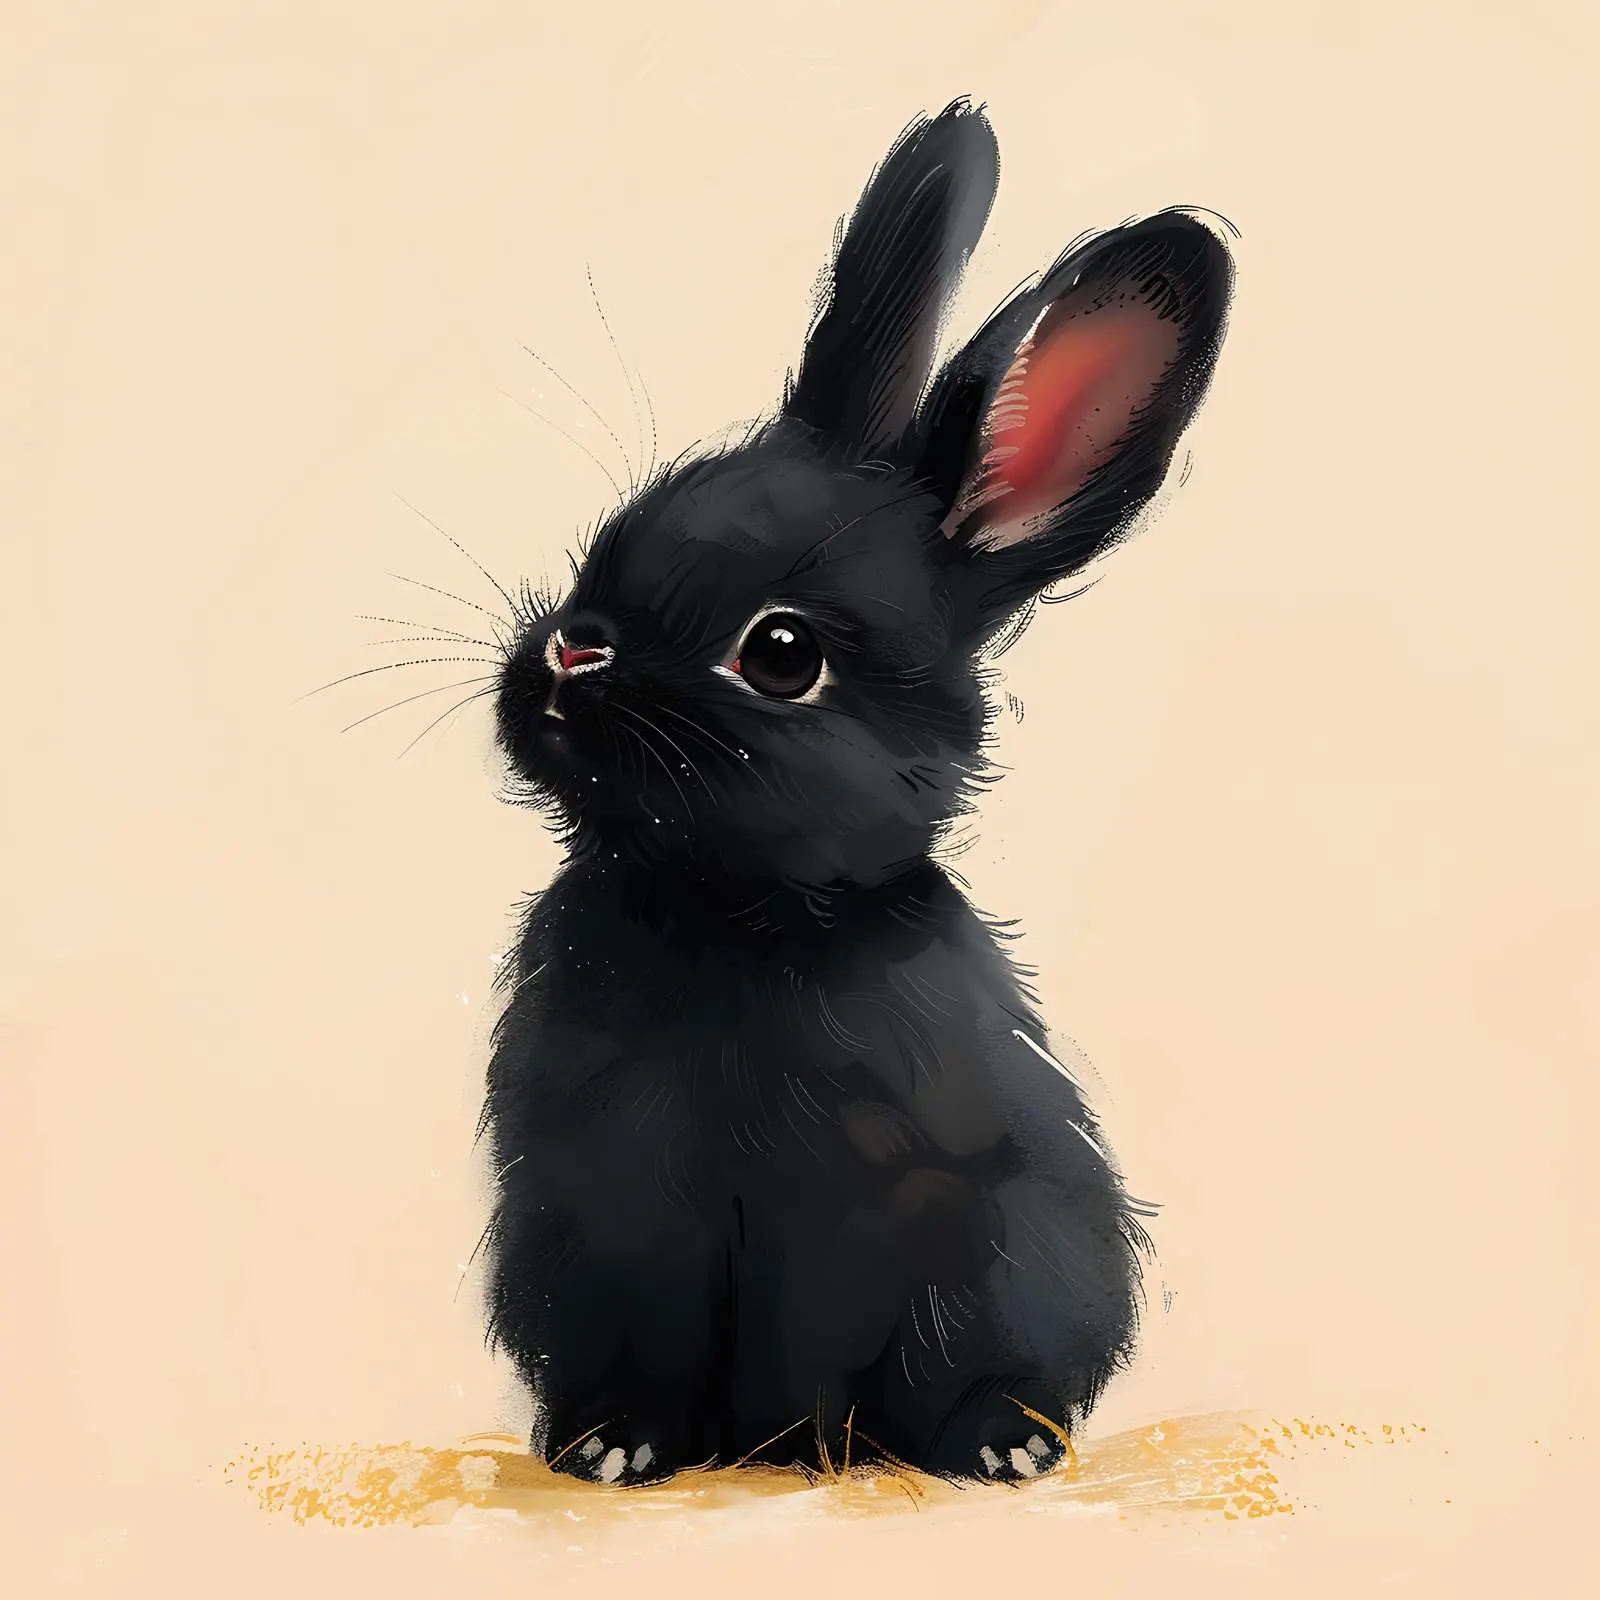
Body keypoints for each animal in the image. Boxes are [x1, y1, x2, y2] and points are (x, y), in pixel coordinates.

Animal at [478, 97, 1233, 1487]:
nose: (569, 653)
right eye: (606, 544)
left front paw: (940, 1448)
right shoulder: (611, 1225)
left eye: (782, 654)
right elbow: (640, 1357)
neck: (738, 916)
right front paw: (612, 1449)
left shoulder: (935, 1221)